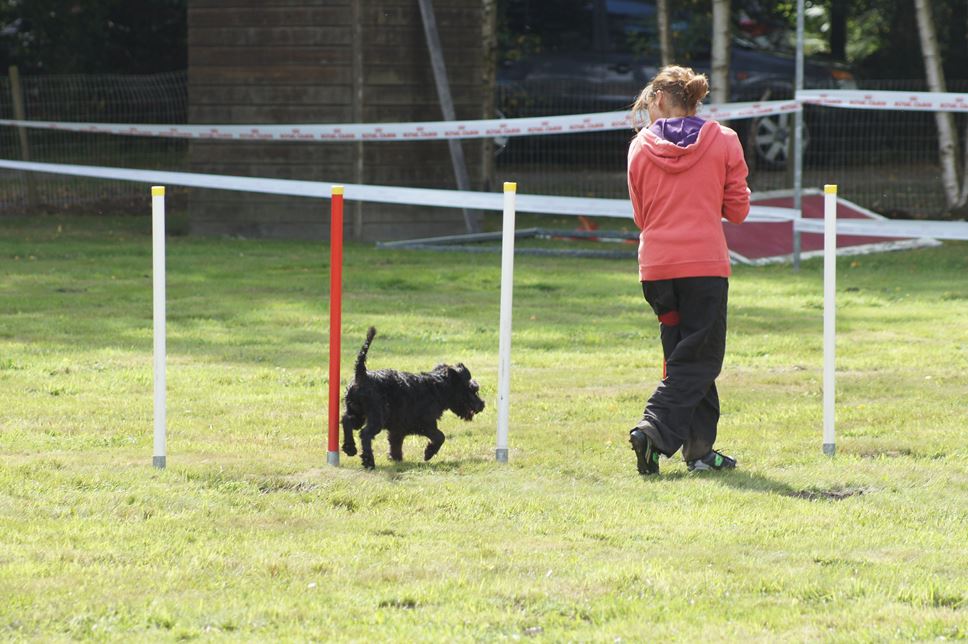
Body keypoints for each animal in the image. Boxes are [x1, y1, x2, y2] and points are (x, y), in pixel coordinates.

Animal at [344, 328, 488, 468]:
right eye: (473, 390)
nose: (482, 405)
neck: (437, 387)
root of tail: (362, 374)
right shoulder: (425, 424)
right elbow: (440, 436)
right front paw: (428, 453)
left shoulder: (398, 428)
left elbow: (395, 442)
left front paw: (395, 458)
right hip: (376, 417)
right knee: (365, 433)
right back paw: (368, 461)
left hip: (356, 412)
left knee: (347, 421)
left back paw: (349, 448)